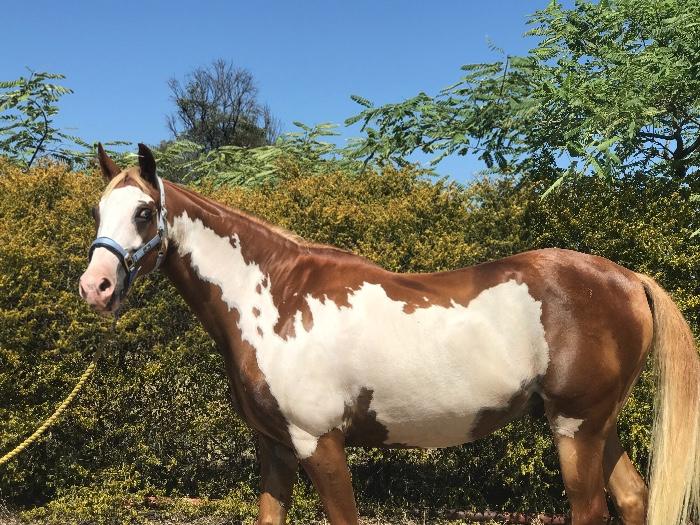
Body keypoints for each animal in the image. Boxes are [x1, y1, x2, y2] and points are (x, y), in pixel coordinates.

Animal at [78, 144, 700, 525]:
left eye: (143, 212)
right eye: (97, 211)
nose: (96, 287)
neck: (274, 297)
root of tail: (627, 278)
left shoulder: (318, 441)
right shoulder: (274, 447)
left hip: (576, 425)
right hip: (597, 422)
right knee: (633, 498)